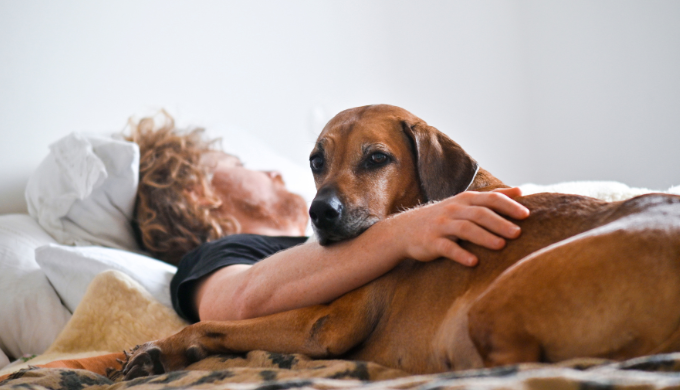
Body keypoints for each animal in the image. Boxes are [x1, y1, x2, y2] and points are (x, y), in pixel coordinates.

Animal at [121, 103, 680, 378]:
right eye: (316, 160)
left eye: (377, 158)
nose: (319, 213)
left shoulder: (324, 326)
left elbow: (216, 323)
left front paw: (160, 348)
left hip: (497, 300)